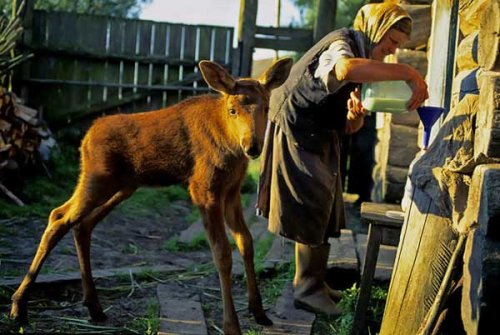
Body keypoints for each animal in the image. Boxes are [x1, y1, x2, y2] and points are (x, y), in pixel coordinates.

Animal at [9, 58, 292, 335]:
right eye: (232, 109)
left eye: (266, 107)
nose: (252, 147)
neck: (230, 147)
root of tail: (86, 137)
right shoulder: (203, 189)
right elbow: (221, 252)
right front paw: (231, 325)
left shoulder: (231, 191)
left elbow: (246, 242)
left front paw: (259, 311)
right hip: (97, 179)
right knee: (59, 217)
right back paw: (19, 305)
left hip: (122, 186)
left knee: (82, 224)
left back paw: (94, 307)